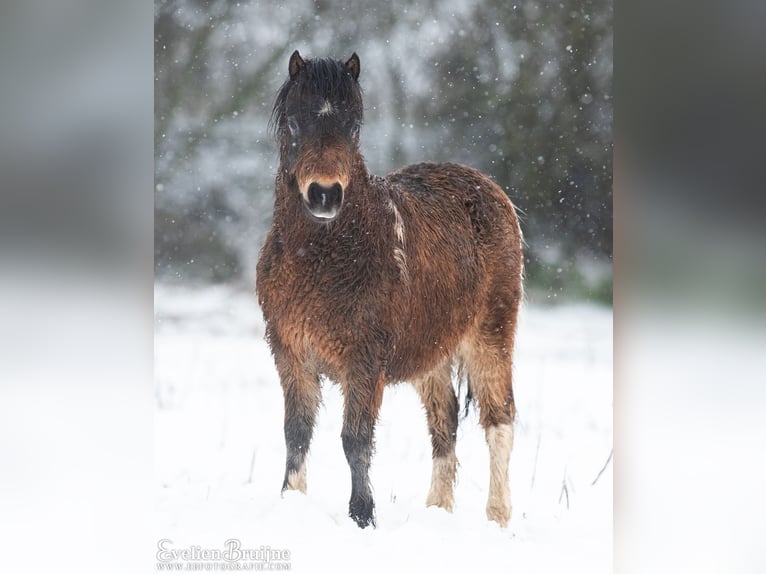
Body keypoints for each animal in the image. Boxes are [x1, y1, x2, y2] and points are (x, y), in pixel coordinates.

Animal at [256, 50, 524, 529]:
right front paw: (291, 502)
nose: (324, 195)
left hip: (491, 335)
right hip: (431, 352)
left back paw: (498, 516)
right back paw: (438, 510)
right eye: (295, 124)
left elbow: (355, 439)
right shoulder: (291, 354)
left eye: (354, 127)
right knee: (445, 419)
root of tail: (490, 189)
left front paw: (362, 516)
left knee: (499, 421)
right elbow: (296, 433)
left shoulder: (364, 361)